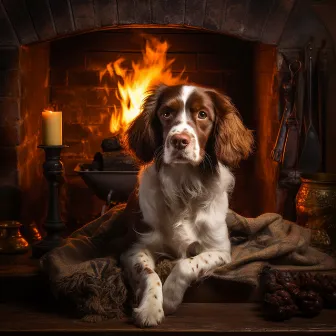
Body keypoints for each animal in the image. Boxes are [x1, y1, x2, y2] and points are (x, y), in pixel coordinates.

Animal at [119, 82, 253, 326]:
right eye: (166, 113)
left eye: (202, 114)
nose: (179, 140)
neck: (184, 186)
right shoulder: (134, 248)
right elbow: (150, 274)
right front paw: (151, 308)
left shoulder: (220, 251)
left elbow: (186, 264)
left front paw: (170, 298)